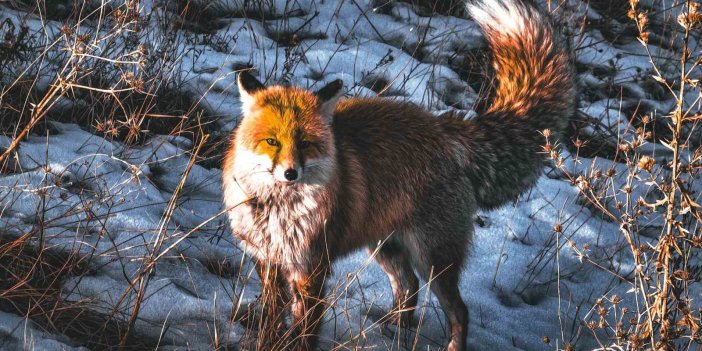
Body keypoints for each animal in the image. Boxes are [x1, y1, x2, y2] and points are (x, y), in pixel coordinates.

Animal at [224, 1, 576, 350]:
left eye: (306, 144)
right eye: (272, 141)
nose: (290, 173)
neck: (279, 214)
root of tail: (443, 126)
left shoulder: (312, 268)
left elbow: (304, 332)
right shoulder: (268, 262)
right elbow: (272, 321)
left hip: (432, 259)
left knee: (458, 310)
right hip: (385, 247)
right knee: (409, 287)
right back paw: (392, 330)